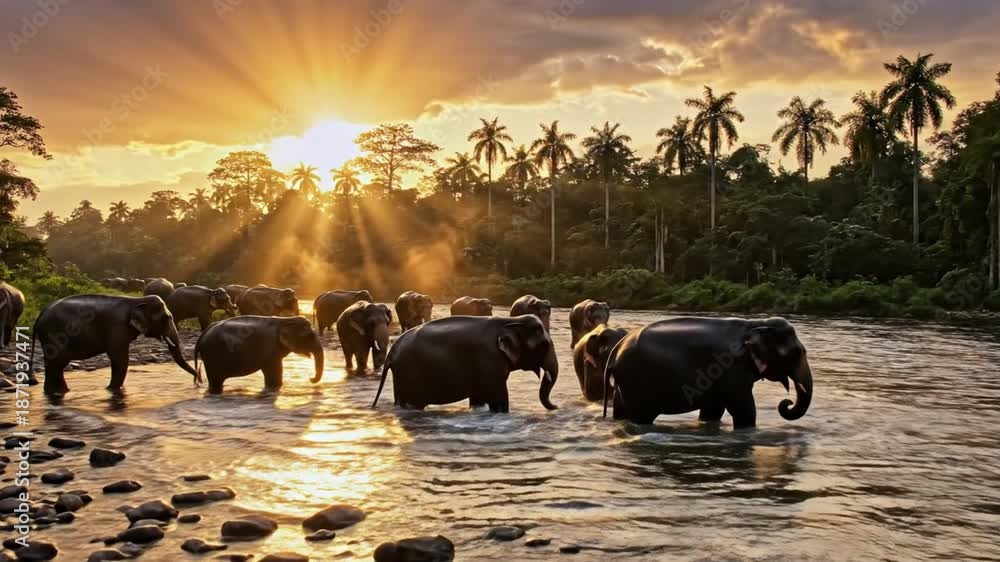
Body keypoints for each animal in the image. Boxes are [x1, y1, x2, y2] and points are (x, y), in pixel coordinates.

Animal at [29, 295, 197, 396]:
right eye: (166, 318)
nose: (197, 381)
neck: (136, 300)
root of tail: (39, 317)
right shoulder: (117, 328)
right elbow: (120, 359)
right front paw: (111, 390)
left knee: (55, 366)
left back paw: (60, 392)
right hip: (54, 335)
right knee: (56, 364)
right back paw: (56, 392)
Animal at [194, 315, 323, 394]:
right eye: (310, 335)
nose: (310, 378)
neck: (285, 320)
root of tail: (202, 335)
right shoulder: (271, 350)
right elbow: (274, 374)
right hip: (213, 356)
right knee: (215, 381)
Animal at [371, 315, 559, 413]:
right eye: (544, 345)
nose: (556, 406)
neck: (508, 321)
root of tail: (391, 354)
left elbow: (479, 396)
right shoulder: (490, 360)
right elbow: (498, 397)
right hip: (409, 374)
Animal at [602, 317, 814, 429]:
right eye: (797, 353)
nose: (786, 403)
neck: (754, 324)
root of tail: (617, 348)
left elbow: (713, 410)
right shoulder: (732, 369)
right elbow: (744, 409)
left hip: (624, 383)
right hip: (638, 382)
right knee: (641, 417)